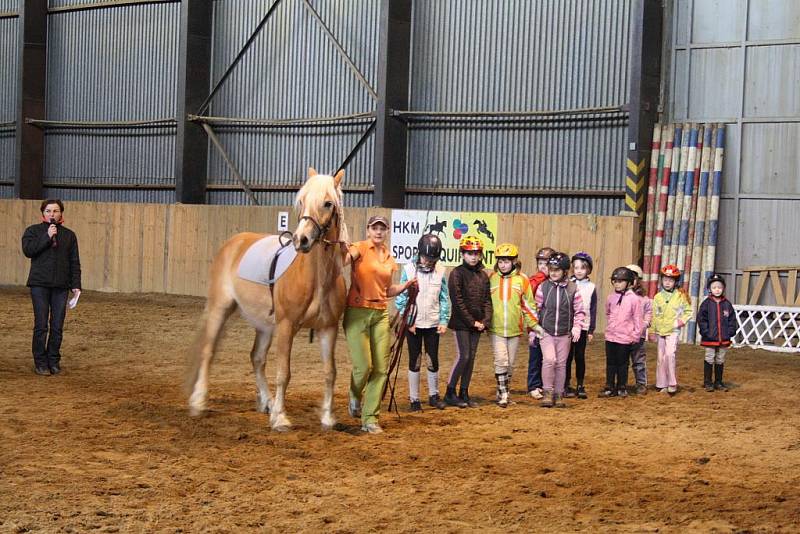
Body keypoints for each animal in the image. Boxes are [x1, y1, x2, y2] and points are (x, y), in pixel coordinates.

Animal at [189, 170, 352, 434]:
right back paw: (198, 402)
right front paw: (280, 418)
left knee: (256, 358)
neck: (317, 279)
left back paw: (266, 402)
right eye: (301, 201)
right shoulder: (286, 326)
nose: (301, 240)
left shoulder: (328, 329)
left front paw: (328, 418)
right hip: (219, 308)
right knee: (208, 351)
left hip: (265, 325)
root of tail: (234, 242)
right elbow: (284, 372)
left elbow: (330, 372)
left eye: (328, 203)